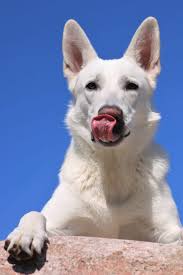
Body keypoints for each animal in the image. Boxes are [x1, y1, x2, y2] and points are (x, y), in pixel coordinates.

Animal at [4, 16, 183, 262]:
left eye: (131, 86)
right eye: (91, 85)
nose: (110, 114)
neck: (112, 169)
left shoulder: (166, 232)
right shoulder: (62, 225)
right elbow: (34, 213)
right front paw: (26, 233)